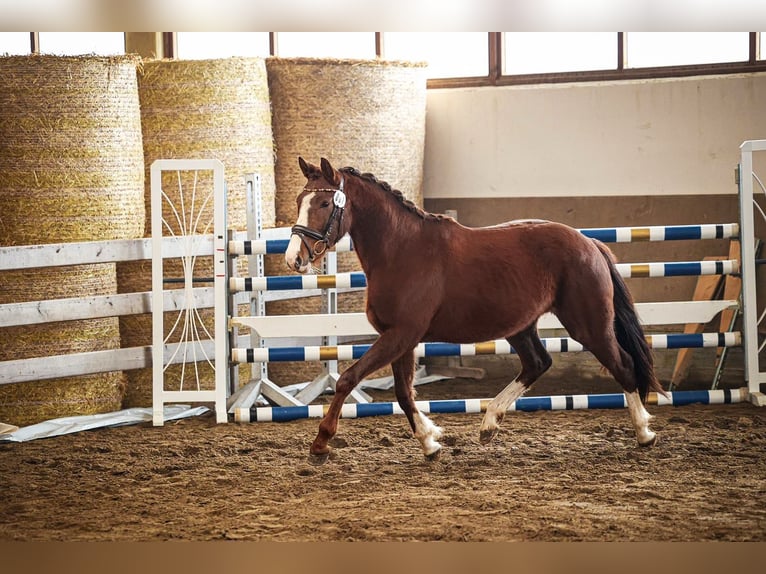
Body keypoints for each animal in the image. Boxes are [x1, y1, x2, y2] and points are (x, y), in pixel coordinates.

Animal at [284, 159, 668, 468]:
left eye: (323, 202)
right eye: (300, 201)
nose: (294, 259)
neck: (402, 250)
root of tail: (590, 243)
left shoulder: (400, 334)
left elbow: (348, 379)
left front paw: (321, 444)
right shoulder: (401, 338)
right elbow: (404, 394)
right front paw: (430, 443)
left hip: (589, 325)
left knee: (623, 366)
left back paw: (644, 433)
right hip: (520, 326)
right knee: (538, 363)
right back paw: (489, 424)